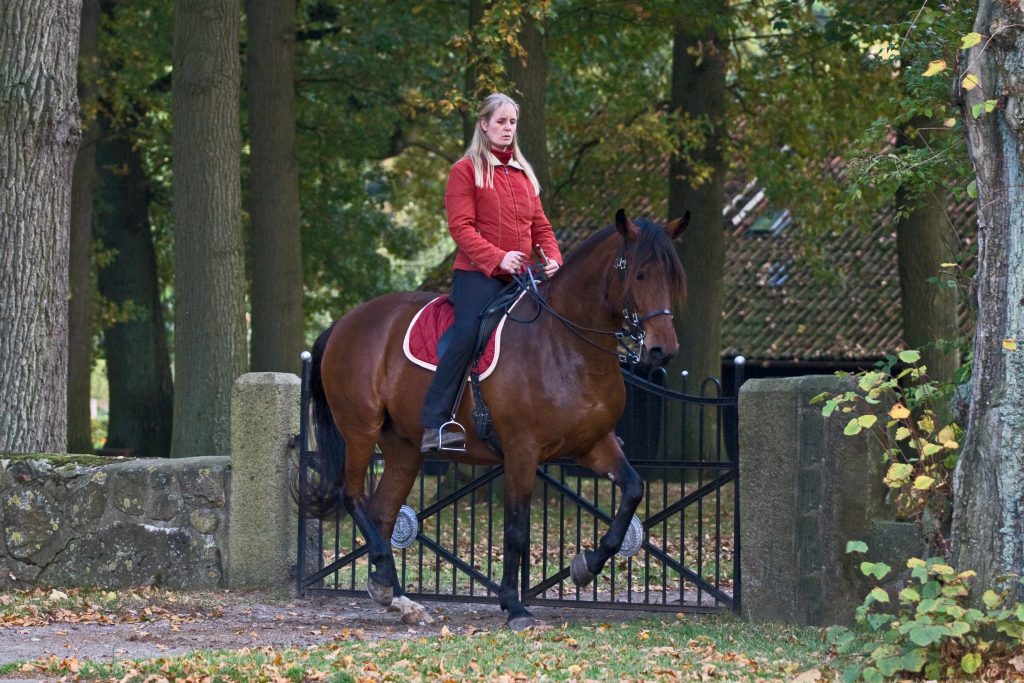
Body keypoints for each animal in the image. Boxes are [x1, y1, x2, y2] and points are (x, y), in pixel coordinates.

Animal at [301, 208, 688, 630]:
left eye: (673, 276)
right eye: (640, 274)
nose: (662, 350)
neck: (566, 344)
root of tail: (344, 323)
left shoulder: (593, 444)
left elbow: (633, 490)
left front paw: (586, 565)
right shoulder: (522, 450)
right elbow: (516, 527)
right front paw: (514, 605)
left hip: (403, 448)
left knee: (382, 511)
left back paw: (395, 595)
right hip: (360, 431)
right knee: (354, 497)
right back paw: (388, 583)